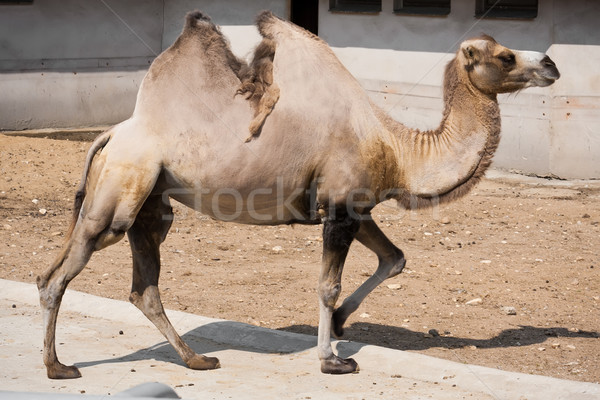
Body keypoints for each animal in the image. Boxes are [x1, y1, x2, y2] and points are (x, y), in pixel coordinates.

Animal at [37, 10, 560, 378]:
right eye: (506, 56)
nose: (551, 63)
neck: (397, 150)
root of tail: (110, 134)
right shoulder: (341, 209)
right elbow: (328, 284)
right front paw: (332, 359)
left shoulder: (355, 207)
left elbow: (394, 259)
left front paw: (343, 325)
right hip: (121, 190)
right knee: (60, 274)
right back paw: (58, 367)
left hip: (151, 204)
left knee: (140, 287)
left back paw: (196, 360)